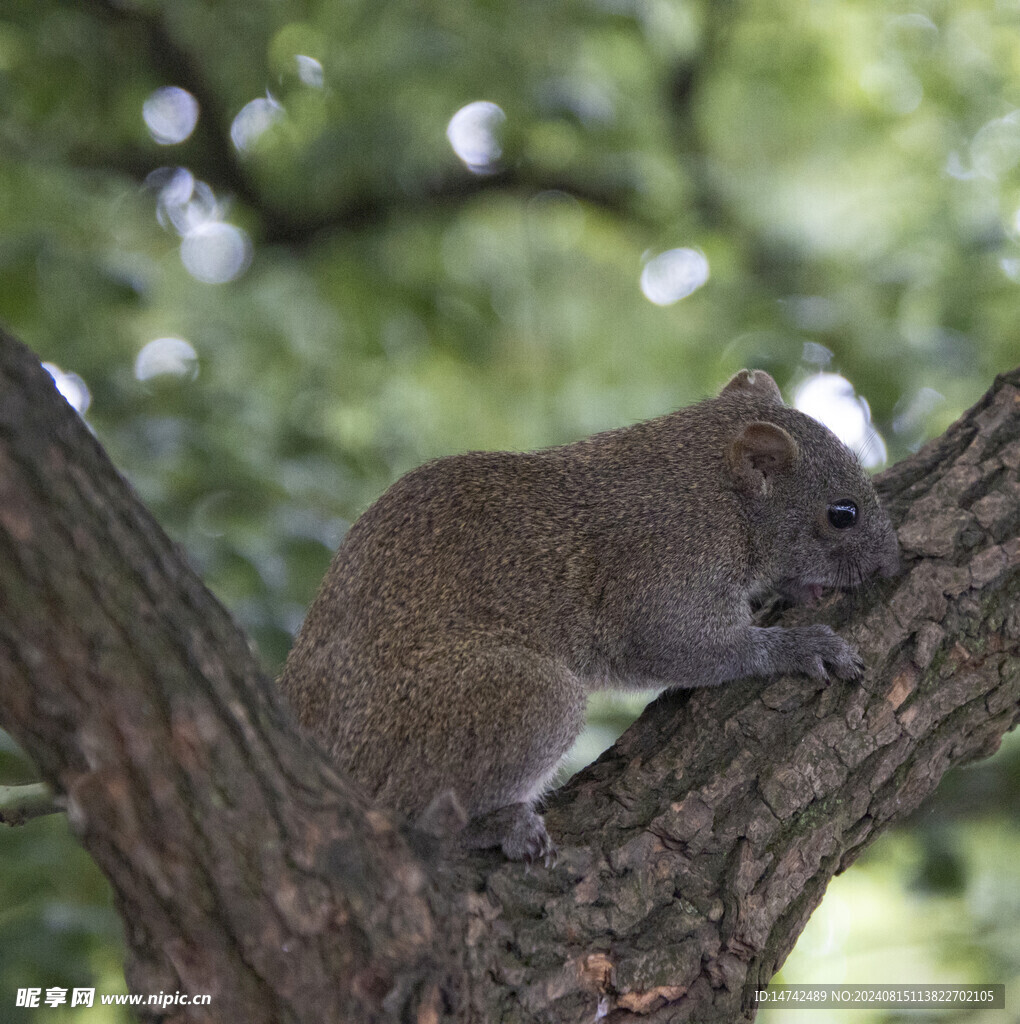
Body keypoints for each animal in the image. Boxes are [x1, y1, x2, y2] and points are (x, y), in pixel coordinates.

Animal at [276, 370, 893, 864]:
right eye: (843, 513)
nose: (891, 560)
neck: (708, 486)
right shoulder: (664, 569)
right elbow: (686, 647)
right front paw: (802, 646)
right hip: (524, 700)